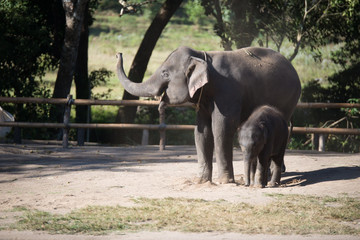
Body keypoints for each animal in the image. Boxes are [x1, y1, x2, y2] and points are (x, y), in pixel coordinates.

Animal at [116, 45, 300, 184]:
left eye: (165, 73)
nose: (119, 53)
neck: (202, 57)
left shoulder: (228, 92)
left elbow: (222, 128)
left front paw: (225, 182)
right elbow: (201, 131)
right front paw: (202, 181)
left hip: (289, 100)